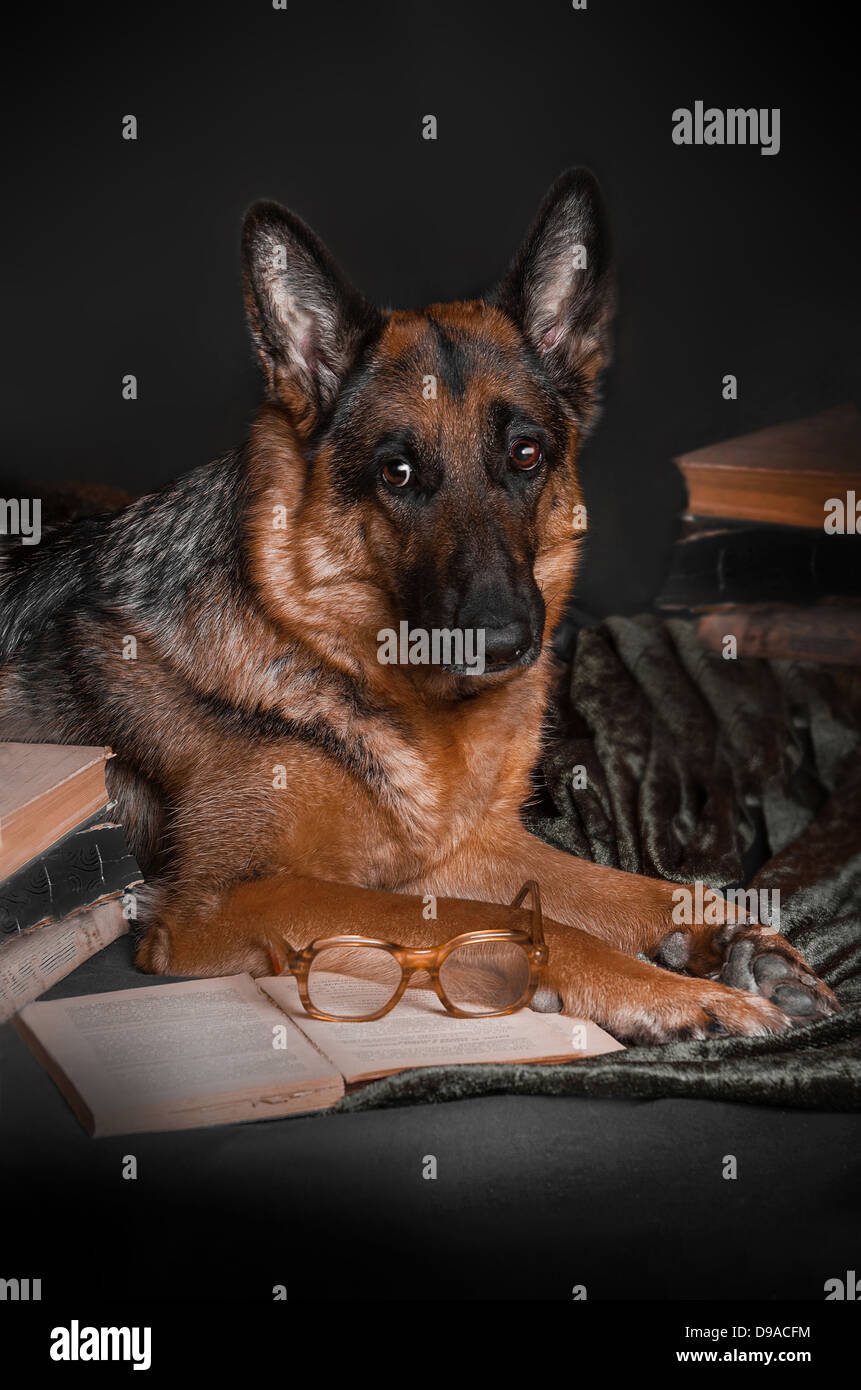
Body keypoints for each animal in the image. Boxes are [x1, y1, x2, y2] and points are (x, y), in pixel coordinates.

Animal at [0, 170, 834, 1045]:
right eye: (396, 472)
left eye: (525, 454)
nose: (503, 642)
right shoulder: (220, 902)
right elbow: (503, 921)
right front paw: (665, 991)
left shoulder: (471, 850)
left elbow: (629, 886)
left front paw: (735, 936)